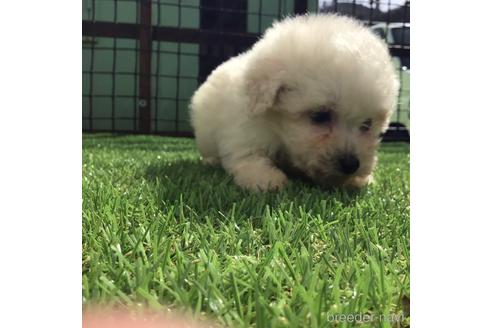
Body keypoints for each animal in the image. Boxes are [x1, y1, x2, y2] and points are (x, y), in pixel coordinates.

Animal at [189, 14, 400, 191]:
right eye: (319, 116)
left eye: (367, 124)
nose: (351, 165)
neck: (278, 129)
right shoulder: (244, 134)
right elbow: (249, 158)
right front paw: (266, 180)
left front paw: (358, 180)